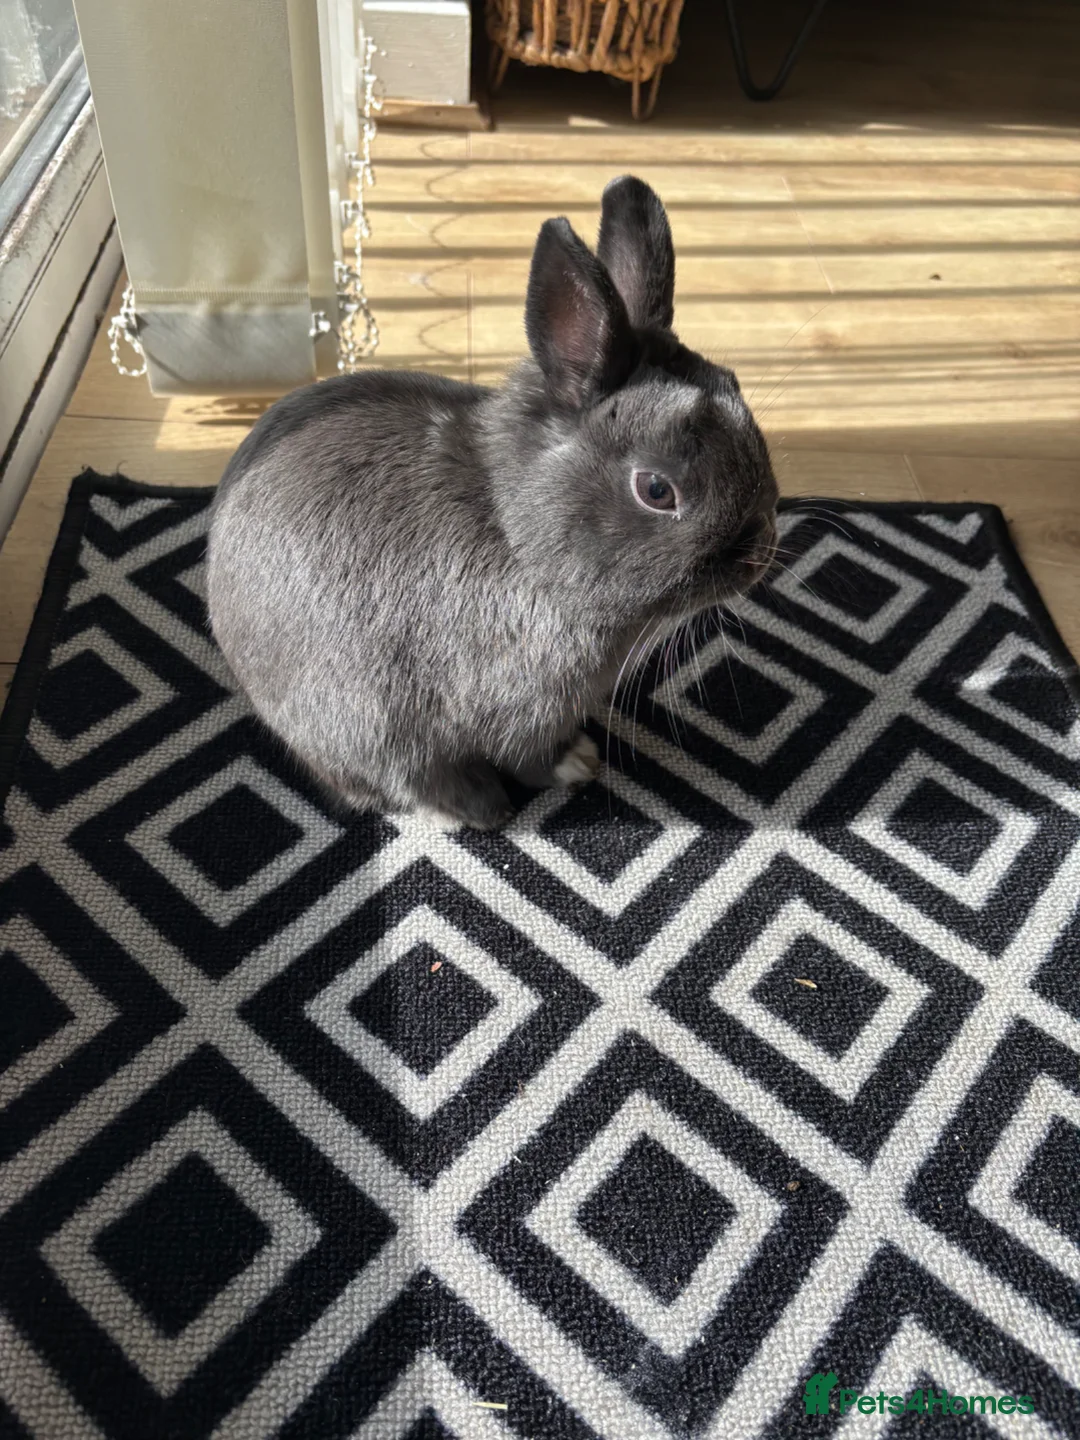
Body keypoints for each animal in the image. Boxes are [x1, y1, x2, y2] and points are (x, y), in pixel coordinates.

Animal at [207, 175, 778, 829]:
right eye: (657, 490)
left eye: (734, 385)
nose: (763, 549)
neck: (519, 535)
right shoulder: (518, 707)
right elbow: (528, 757)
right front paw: (575, 765)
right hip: (362, 721)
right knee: (405, 781)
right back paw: (479, 810)